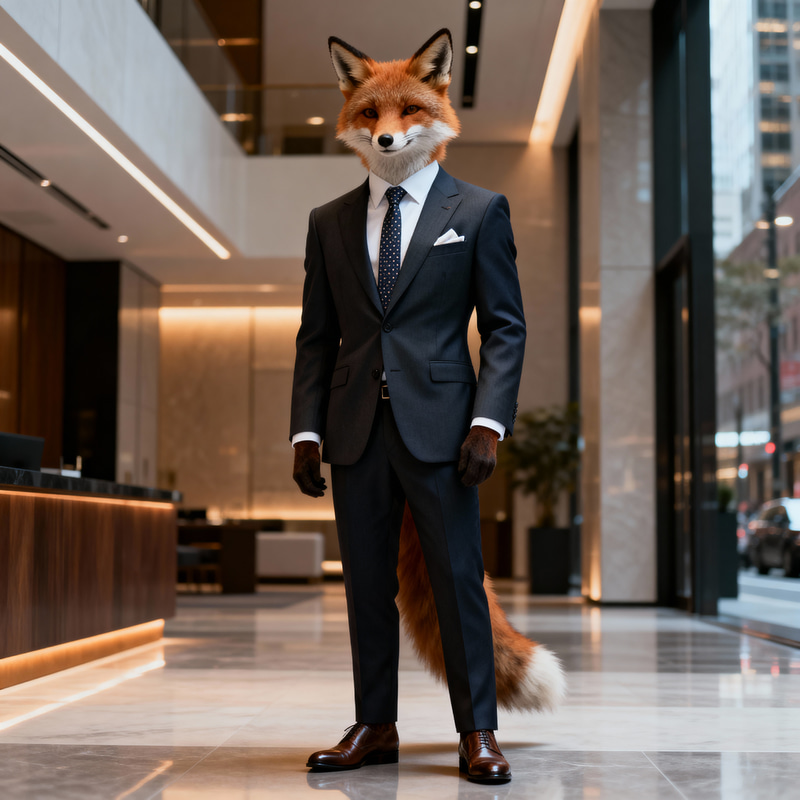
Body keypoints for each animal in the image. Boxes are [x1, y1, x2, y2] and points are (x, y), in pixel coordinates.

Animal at [329, 29, 567, 714]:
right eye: (369, 114)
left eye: (409, 109)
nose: (385, 140)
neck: (398, 197)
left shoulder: (500, 291)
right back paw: (369, 734)